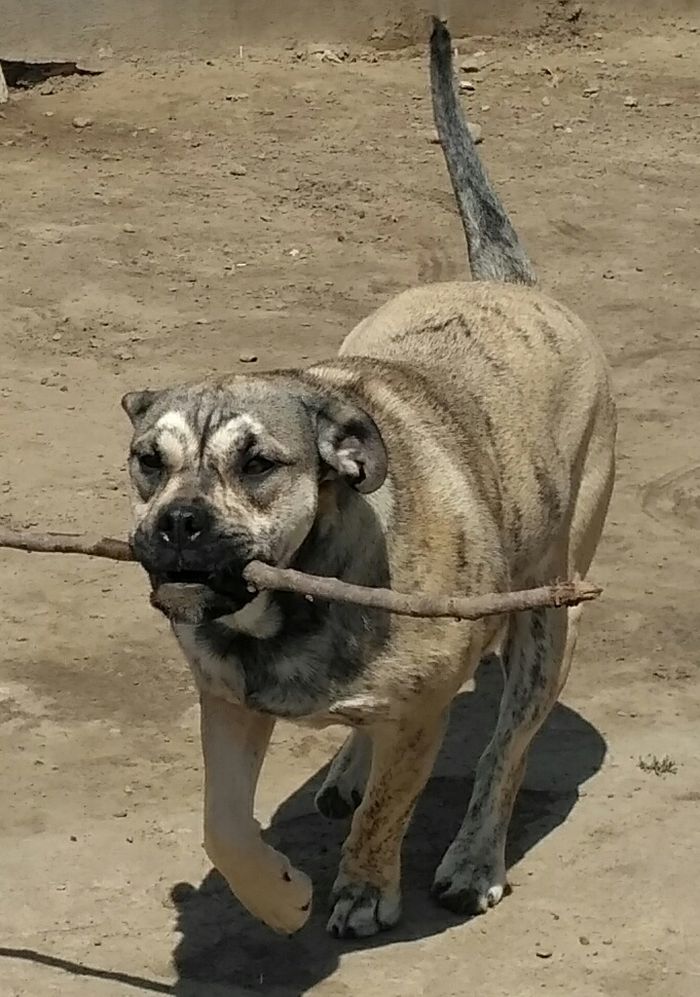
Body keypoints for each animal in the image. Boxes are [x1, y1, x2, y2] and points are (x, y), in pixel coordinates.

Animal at [121, 18, 616, 939]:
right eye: (147, 460)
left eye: (258, 463)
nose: (178, 523)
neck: (297, 598)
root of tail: (507, 284)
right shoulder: (228, 700)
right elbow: (222, 825)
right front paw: (278, 895)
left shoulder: (425, 709)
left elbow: (398, 800)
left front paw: (361, 887)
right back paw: (348, 767)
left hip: (550, 618)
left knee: (505, 751)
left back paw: (474, 858)